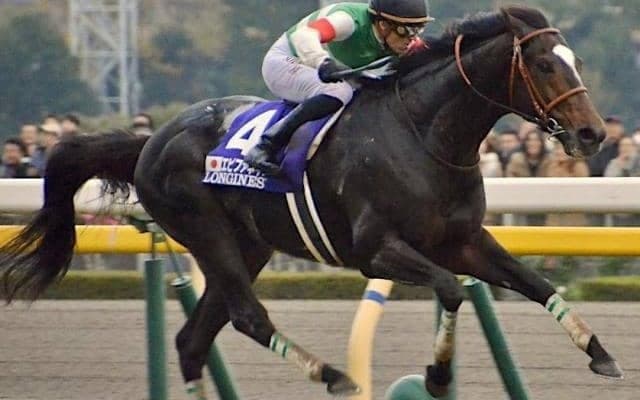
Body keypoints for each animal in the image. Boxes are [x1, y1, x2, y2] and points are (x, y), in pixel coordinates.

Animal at [0, 6, 623, 398]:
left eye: (577, 62)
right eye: (544, 64)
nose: (593, 134)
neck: (425, 134)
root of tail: (152, 139)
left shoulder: (464, 241)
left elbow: (537, 284)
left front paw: (600, 352)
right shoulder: (374, 250)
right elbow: (450, 291)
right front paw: (438, 376)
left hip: (248, 244)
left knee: (194, 340)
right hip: (207, 232)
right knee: (247, 317)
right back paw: (332, 375)